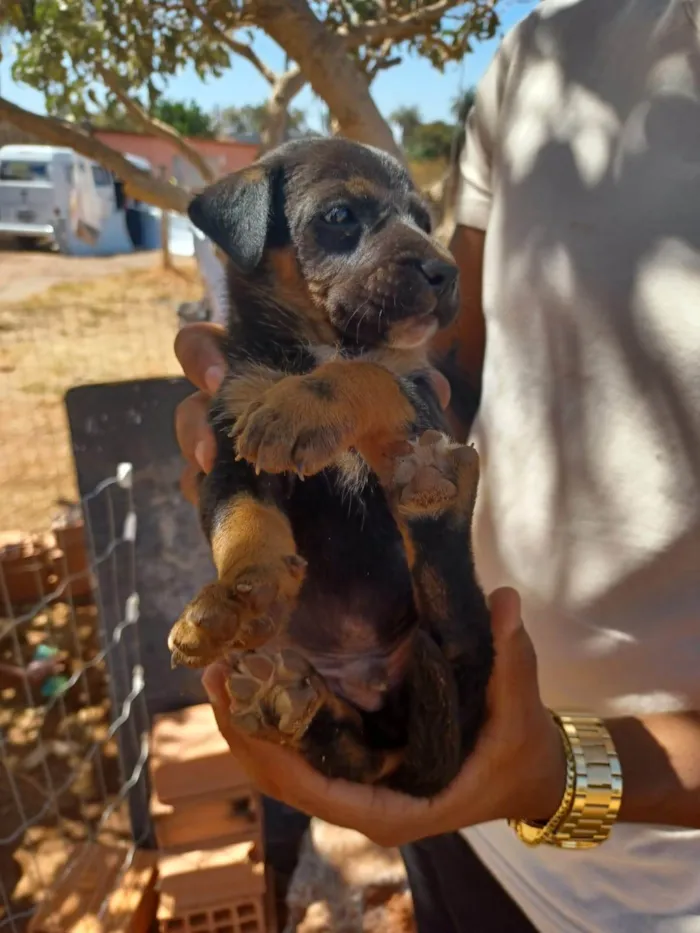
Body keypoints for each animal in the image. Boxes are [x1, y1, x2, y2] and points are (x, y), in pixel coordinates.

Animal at [169, 137, 492, 792]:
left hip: (455, 634)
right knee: (346, 752)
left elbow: (368, 374)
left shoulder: (424, 409)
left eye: (425, 221)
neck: (315, 345)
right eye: (340, 215)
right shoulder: (228, 454)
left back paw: (440, 505)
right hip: (339, 713)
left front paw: (299, 408)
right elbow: (242, 522)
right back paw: (277, 698)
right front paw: (245, 589)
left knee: (454, 631)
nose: (447, 273)